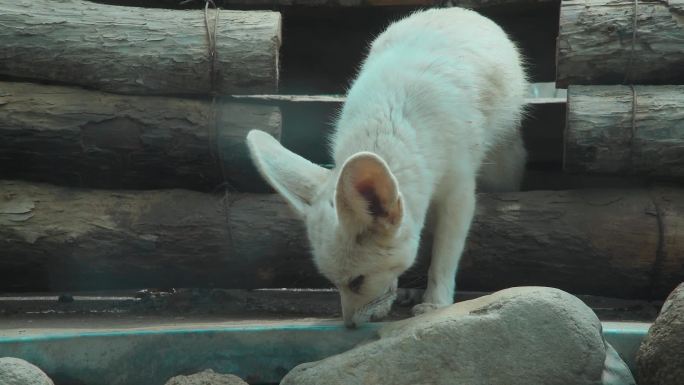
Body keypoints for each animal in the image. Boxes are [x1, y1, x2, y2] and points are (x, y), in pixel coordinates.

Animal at [247, 6, 528, 328]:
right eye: (334, 282)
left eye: (356, 281)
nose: (349, 326)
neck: (390, 124)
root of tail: (455, 9)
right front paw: (406, 288)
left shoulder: (458, 190)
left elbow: (445, 253)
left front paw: (436, 302)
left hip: (502, 167)